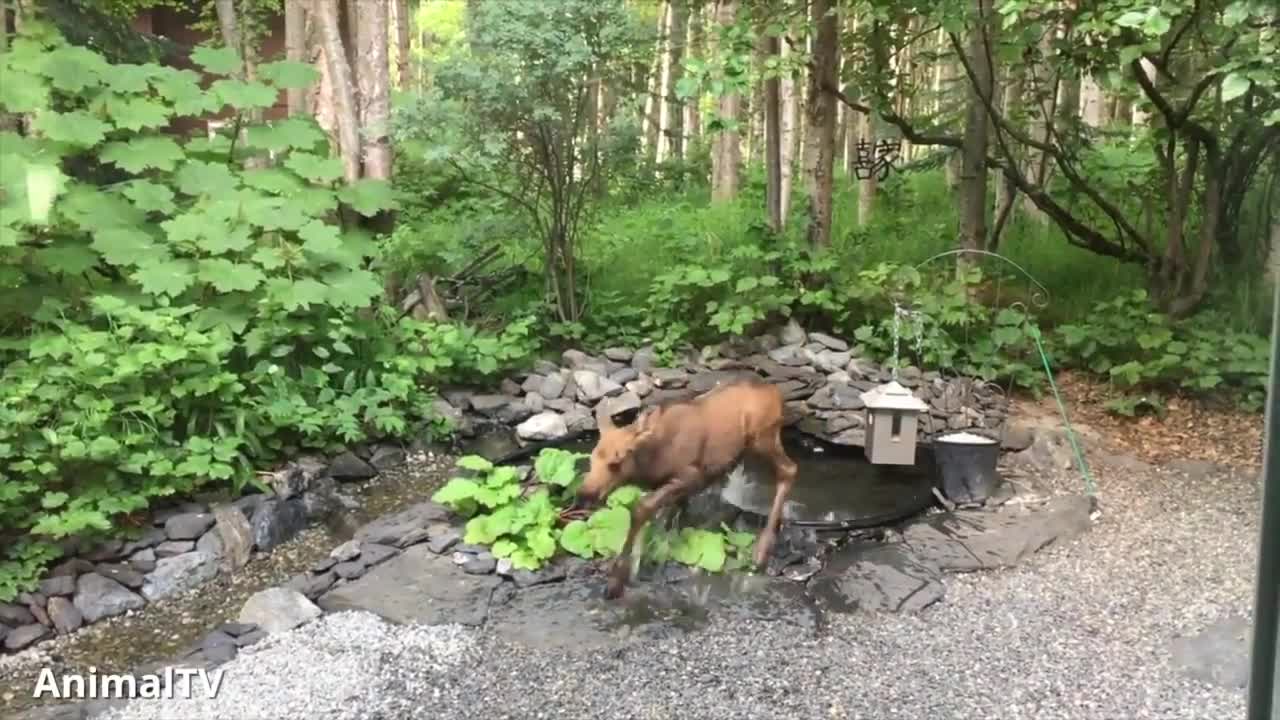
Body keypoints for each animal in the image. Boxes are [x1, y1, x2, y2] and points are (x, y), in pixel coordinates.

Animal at [583, 379, 798, 597]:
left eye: (616, 462)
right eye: (591, 459)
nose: (586, 493)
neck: (651, 464)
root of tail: (774, 391)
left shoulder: (692, 476)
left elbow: (643, 508)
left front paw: (616, 580)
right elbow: (668, 517)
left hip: (763, 438)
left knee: (789, 469)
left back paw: (762, 550)